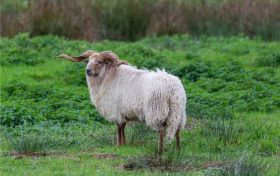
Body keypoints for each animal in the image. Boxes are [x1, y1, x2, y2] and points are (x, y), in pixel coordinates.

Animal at [57, 49, 187, 154]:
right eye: (88, 60)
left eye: (99, 62)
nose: (87, 71)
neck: (107, 77)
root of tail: (172, 88)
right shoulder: (123, 112)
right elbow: (123, 126)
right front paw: (124, 144)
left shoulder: (116, 111)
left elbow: (118, 127)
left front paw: (119, 144)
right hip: (178, 112)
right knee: (178, 131)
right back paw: (178, 149)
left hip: (157, 111)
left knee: (160, 131)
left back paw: (160, 151)